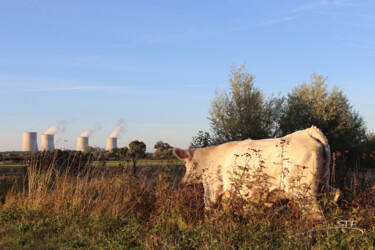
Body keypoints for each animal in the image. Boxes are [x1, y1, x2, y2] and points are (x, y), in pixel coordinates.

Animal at [175, 126, 342, 220]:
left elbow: (210, 211)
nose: (183, 181)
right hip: (323, 183)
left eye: (185, 163)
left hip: (303, 192)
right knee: (335, 194)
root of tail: (306, 133)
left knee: (316, 215)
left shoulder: (212, 189)